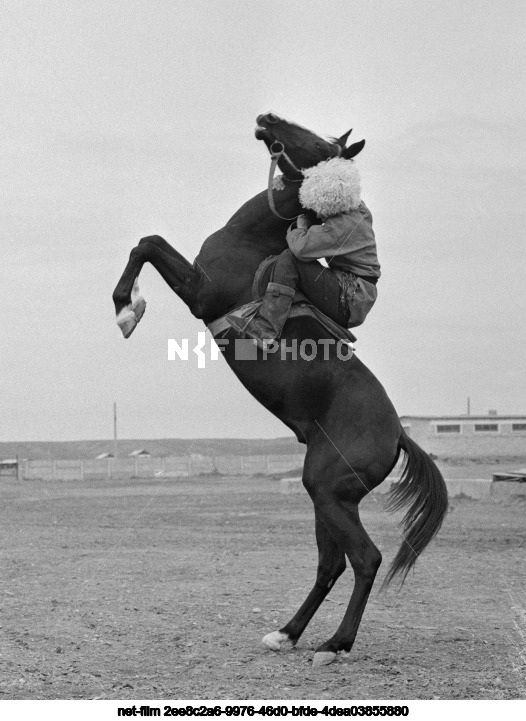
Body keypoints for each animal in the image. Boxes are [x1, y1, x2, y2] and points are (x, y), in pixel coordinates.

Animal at [112, 109, 450, 668]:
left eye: (316, 143)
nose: (266, 117)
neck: (254, 239)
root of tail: (398, 434)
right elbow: (148, 240)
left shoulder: (200, 293)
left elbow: (148, 242)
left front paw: (126, 309)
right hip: (327, 498)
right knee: (331, 564)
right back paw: (286, 634)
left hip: (330, 493)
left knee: (365, 558)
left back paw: (334, 645)